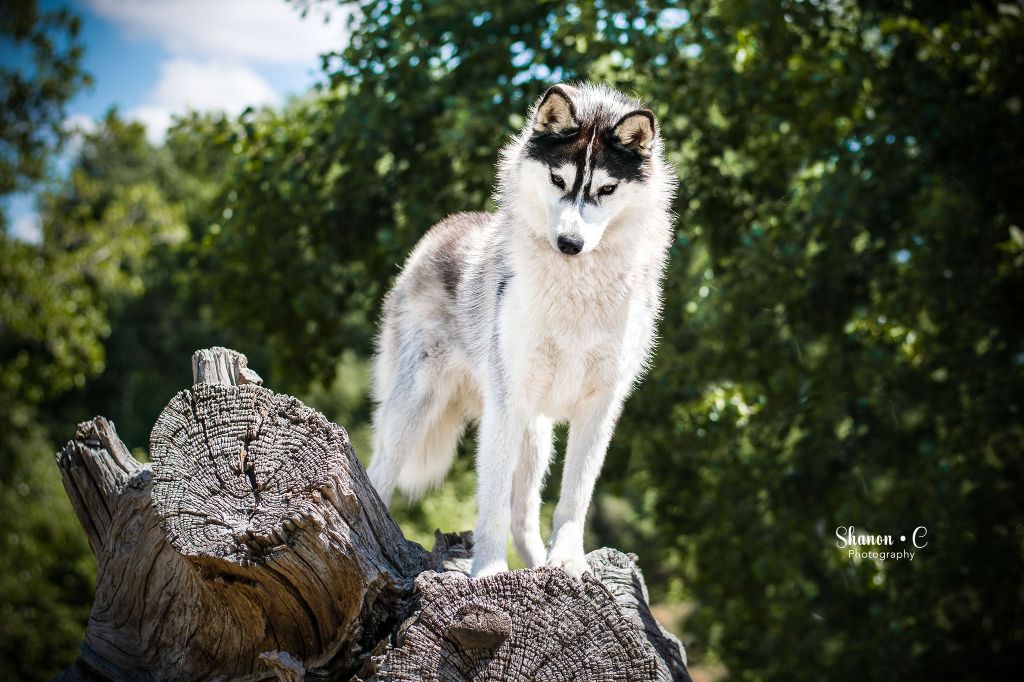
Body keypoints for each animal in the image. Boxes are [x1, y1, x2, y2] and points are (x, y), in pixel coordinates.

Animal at [370, 82, 679, 577]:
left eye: (606, 189)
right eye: (558, 180)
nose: (570, 244)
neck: (577, 289)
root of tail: (444, 228)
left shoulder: (600, 409)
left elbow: (573, 500)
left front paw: (568, 562)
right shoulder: (508, 403)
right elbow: (491, 505)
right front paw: (489, 572)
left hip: (536, 440)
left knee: (525, 517)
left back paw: (538, 566)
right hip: (417, 408)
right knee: (377, 476)